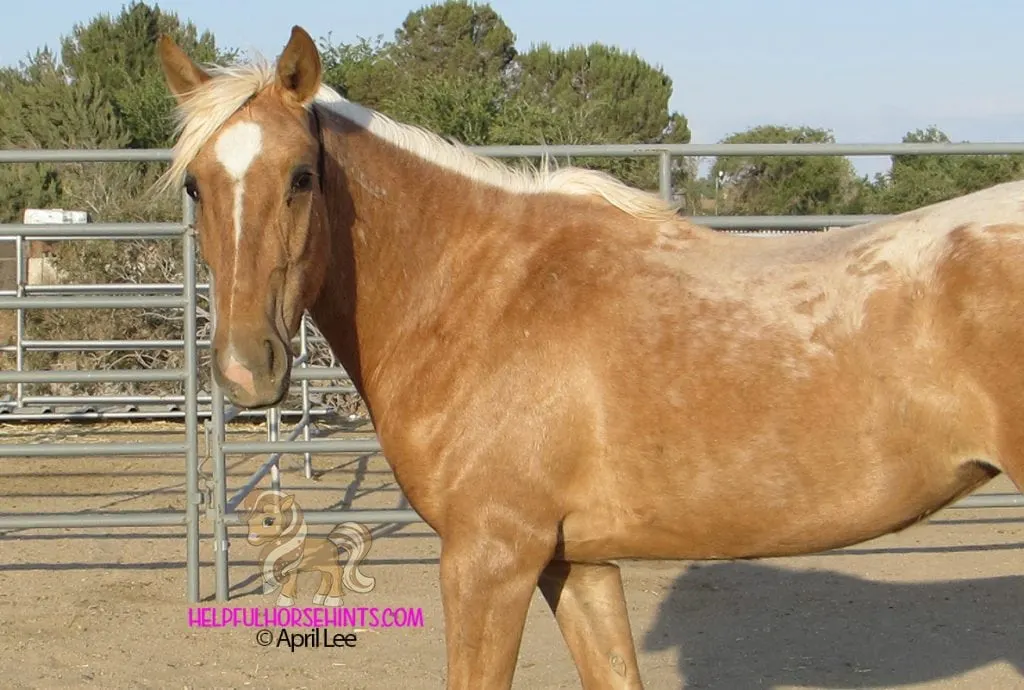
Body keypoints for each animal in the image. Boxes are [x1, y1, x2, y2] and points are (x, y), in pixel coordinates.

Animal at [240, 487, 376, 606]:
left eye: (269, 521)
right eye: (250, 520)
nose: (252, 538)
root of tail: (331, 542)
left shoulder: (291, 569)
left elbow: (289, 583)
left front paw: (284, 601)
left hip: (329, 565)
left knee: (338, 571)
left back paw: (333, 600)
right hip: (322, 567)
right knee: (327, 577)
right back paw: (319, 598)